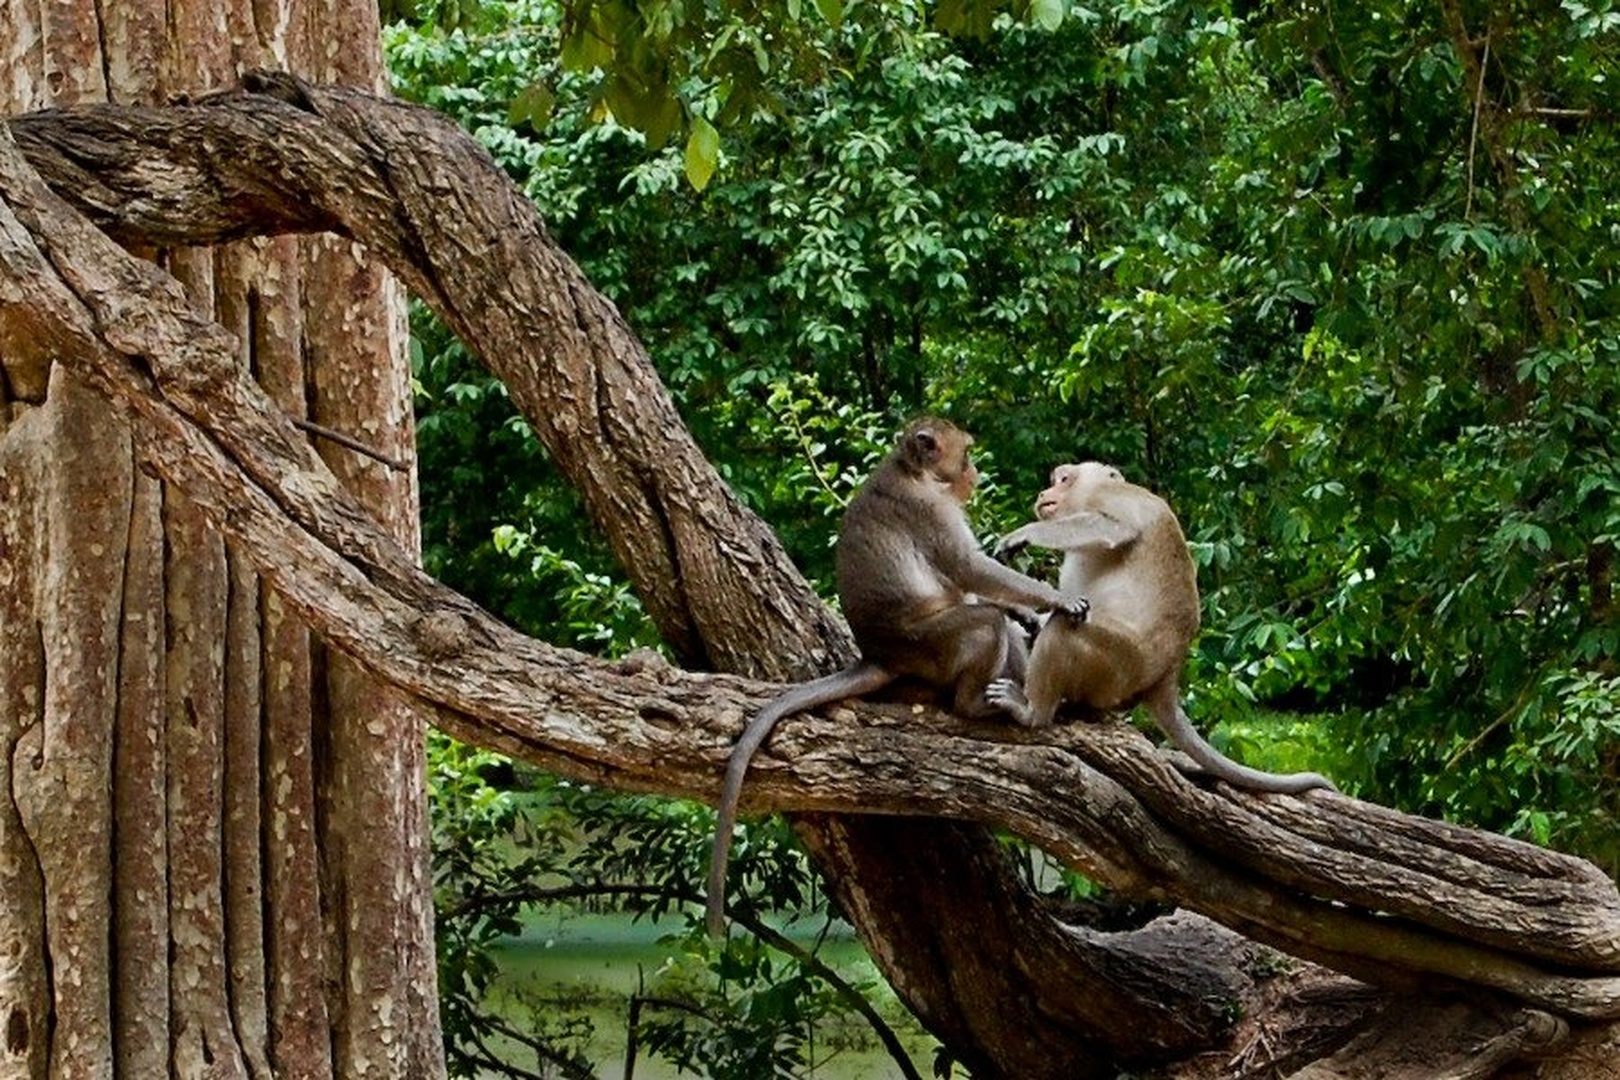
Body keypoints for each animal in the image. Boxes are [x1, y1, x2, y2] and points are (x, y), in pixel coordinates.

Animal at [705, 419, 1089, 937]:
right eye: (966, 455)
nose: (973, 474)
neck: (913, 472)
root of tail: (881, 656)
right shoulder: (928, 510)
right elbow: (969, 569)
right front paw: (1056, 599)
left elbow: (974, 585)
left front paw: (1029, 611)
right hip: (931, 647)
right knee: (983, 623)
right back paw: (976, 704)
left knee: (995, 622)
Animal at [987, 462, 1337, 795]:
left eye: (1064, 480)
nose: (1043, 493)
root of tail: (1167, 674)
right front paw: (1028, 616)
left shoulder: (1116, 497)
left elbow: (1115, 527)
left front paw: (1023, 534)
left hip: (1121, 664)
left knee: (1066, 628)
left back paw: (1033, 712)